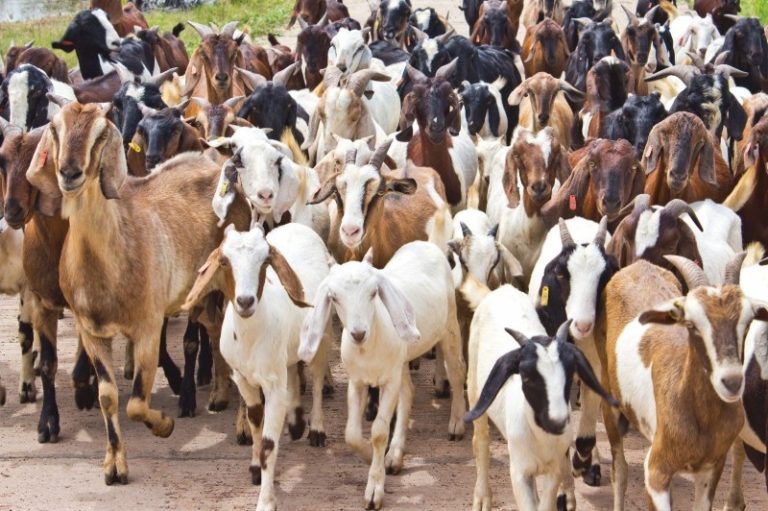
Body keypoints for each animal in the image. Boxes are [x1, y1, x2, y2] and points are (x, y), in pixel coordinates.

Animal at [25, 101, 249, 484]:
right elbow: (108, 397)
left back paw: (245, 428)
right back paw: (220, 395)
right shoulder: (91, 331)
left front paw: (165, 425)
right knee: (217, 329)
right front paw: (114, 465)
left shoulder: (147, 326)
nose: (70, 172)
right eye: (55, 128)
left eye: (101, 133)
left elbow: (136, 404)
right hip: (203, 293)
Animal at [183, 223, 330, 511]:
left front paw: (266, 500)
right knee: (293, 371)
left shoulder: (272, 387)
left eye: (264, 261)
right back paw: (296, 422)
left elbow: (268, 444)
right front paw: (254, 469)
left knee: (317, 379)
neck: (251, 337)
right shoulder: (242, 379)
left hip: (320, 335)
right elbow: (253, 421)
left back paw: (316, 429)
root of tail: (299, 225)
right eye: (224, 261)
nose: (245, 301)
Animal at [300, 241, 466, 510]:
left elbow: (379, 432)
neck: (369, 347)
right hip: (402, 360)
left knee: (458, 370)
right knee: (408, 392)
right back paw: (395, 454)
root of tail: (425, 243)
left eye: (373, 293)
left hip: (449, 324)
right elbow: (351, 434)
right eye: (334, 297)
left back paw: (456, 425)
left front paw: (374, 488)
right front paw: (369, 455)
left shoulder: (389, 381)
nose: (358, 333)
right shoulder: (357, 381)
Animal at [599, 254, 765, 511]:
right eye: (691, 324)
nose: (732, 382)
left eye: (747, 323)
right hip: (610, 402)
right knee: (620, 471)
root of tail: (639, 264)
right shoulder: (656, 471)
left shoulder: (711, 467)